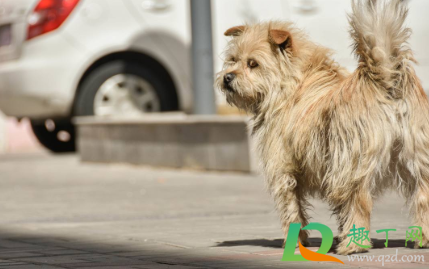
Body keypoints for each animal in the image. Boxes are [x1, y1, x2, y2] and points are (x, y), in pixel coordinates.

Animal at [216, 0, 428, 253]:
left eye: (253, 64)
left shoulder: (283, 170)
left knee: (359, 200)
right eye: (232, 60)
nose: (227, 77)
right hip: (418, 159)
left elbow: (291, 210)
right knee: (423, 197)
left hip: (350, 165)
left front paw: (295, 242)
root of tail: (384, 78)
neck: (293, 83)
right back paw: (422, 239)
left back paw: (354, 245)